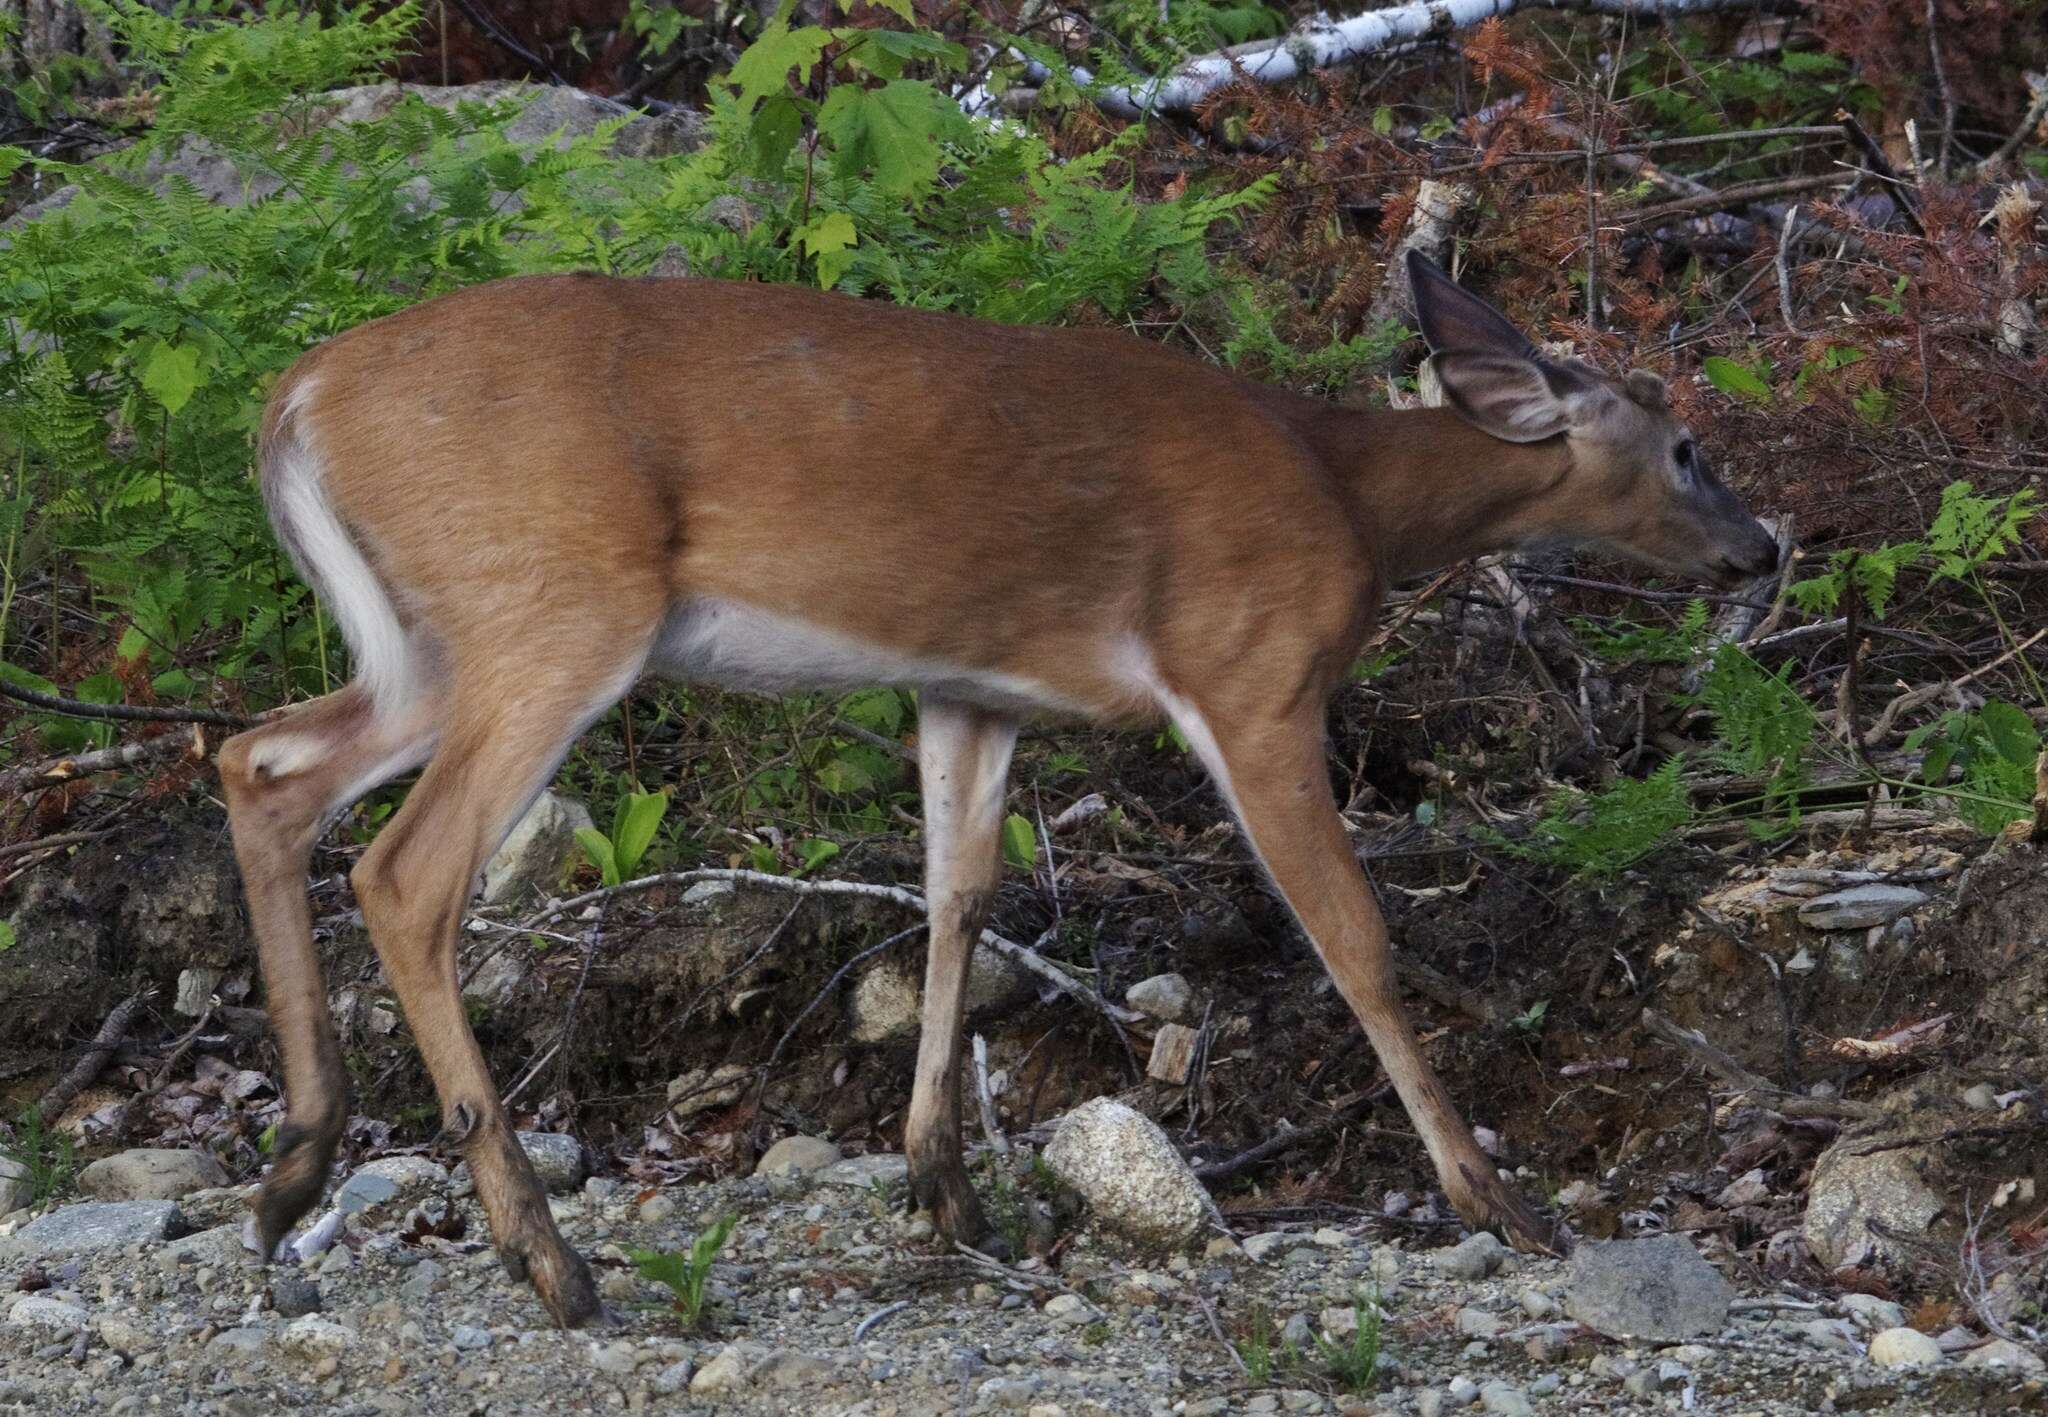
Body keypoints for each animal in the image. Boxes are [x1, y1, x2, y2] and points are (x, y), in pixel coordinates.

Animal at [220, 254, 1777, 1326]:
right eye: (1683, 444)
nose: (1761, 547)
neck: (1353, 498)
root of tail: (296, 397)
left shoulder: (971, 688)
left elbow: (958, 898)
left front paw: (946, 1186)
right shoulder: (1252, 671)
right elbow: (1356, 937)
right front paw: (1496, 1197)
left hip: (436, 643)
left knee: (263, 762)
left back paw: (295, 1168)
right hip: (552, 609)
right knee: (404, 870)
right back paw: (545, 1259)